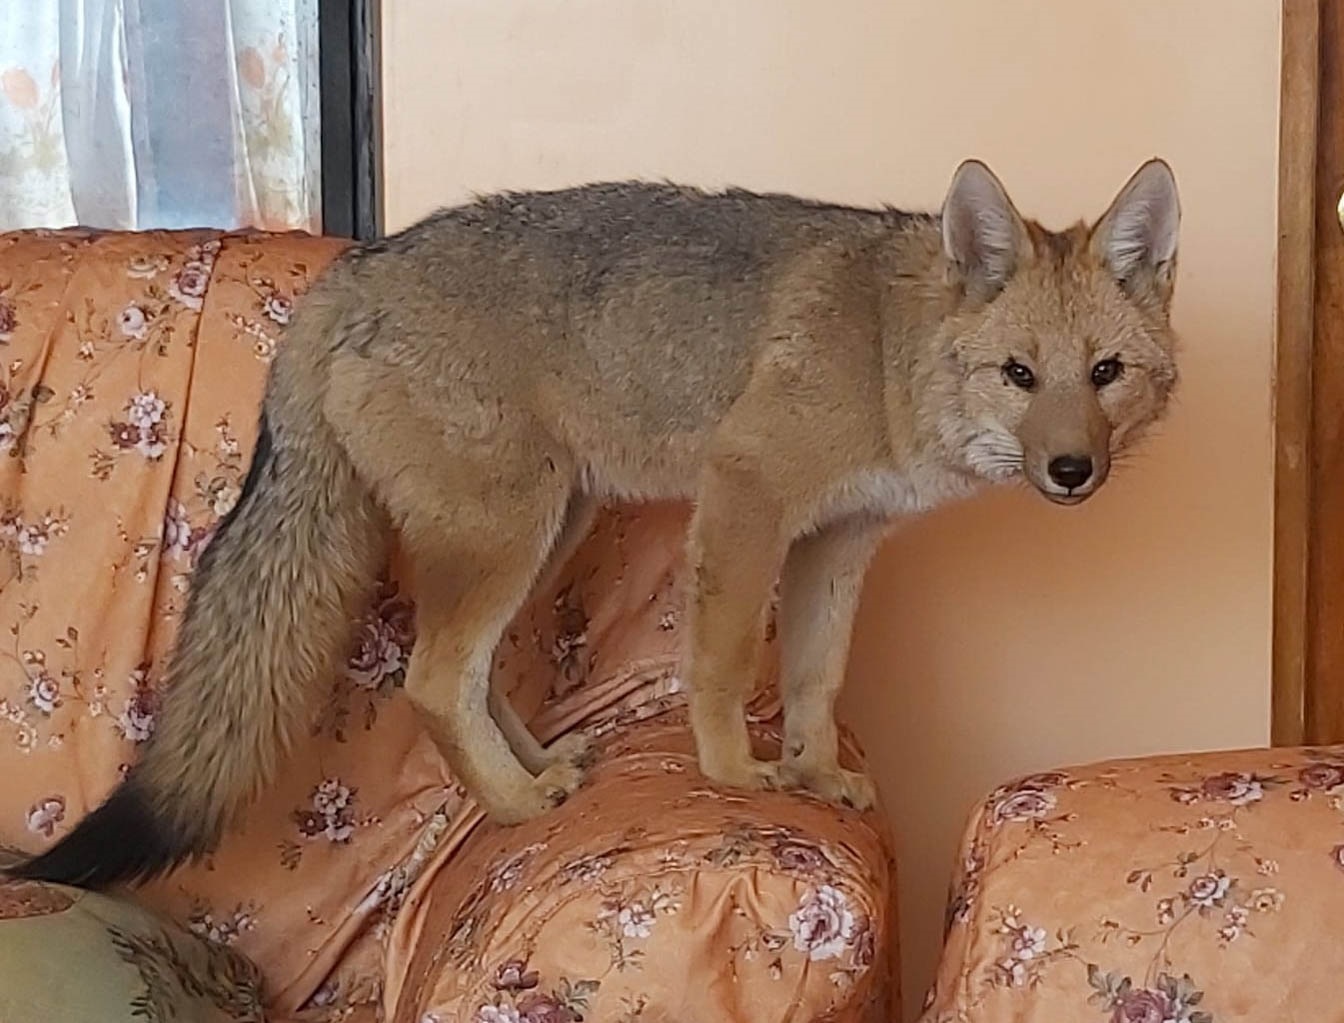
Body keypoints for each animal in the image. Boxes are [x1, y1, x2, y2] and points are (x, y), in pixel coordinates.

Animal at [9, 158, 1180, 888]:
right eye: (1020, 375)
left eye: (1105, 375)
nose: (1073, 471)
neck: (890, 350)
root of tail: (345, 278)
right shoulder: (747, 497)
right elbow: (722, 662)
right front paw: (736, 776)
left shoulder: (836, 542)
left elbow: (813, 680)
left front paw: (813, 775)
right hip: (510, 536)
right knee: (430, 680)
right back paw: (517, 806)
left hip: (546, 529)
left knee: (470, 677)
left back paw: (537, 769)